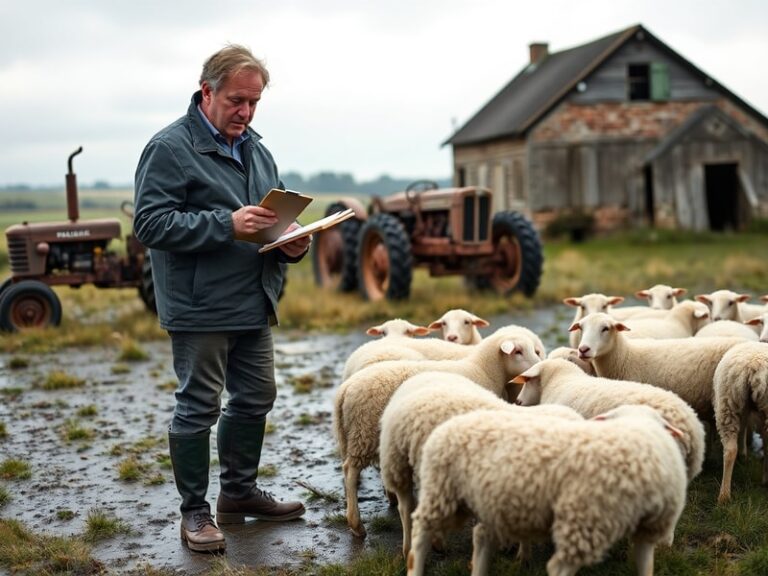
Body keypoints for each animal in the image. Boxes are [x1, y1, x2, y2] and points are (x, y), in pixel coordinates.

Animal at [333, 324, 545, 537]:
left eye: (535, 349)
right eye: (518, 351)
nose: (539, 365)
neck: (483, 370)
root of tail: (345, 388)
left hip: (354, 434)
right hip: (364, 431)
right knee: (350, 470)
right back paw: (356, 524)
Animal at [407, 404, 688, 576]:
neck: (638, 429)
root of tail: (445, 426)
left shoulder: (648, 531)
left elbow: (646, 567)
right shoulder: (584, 524)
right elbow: (558, 569)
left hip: (489, 501)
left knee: (481, 537)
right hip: (441, 491)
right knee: (421, 532)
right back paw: (415, 565)